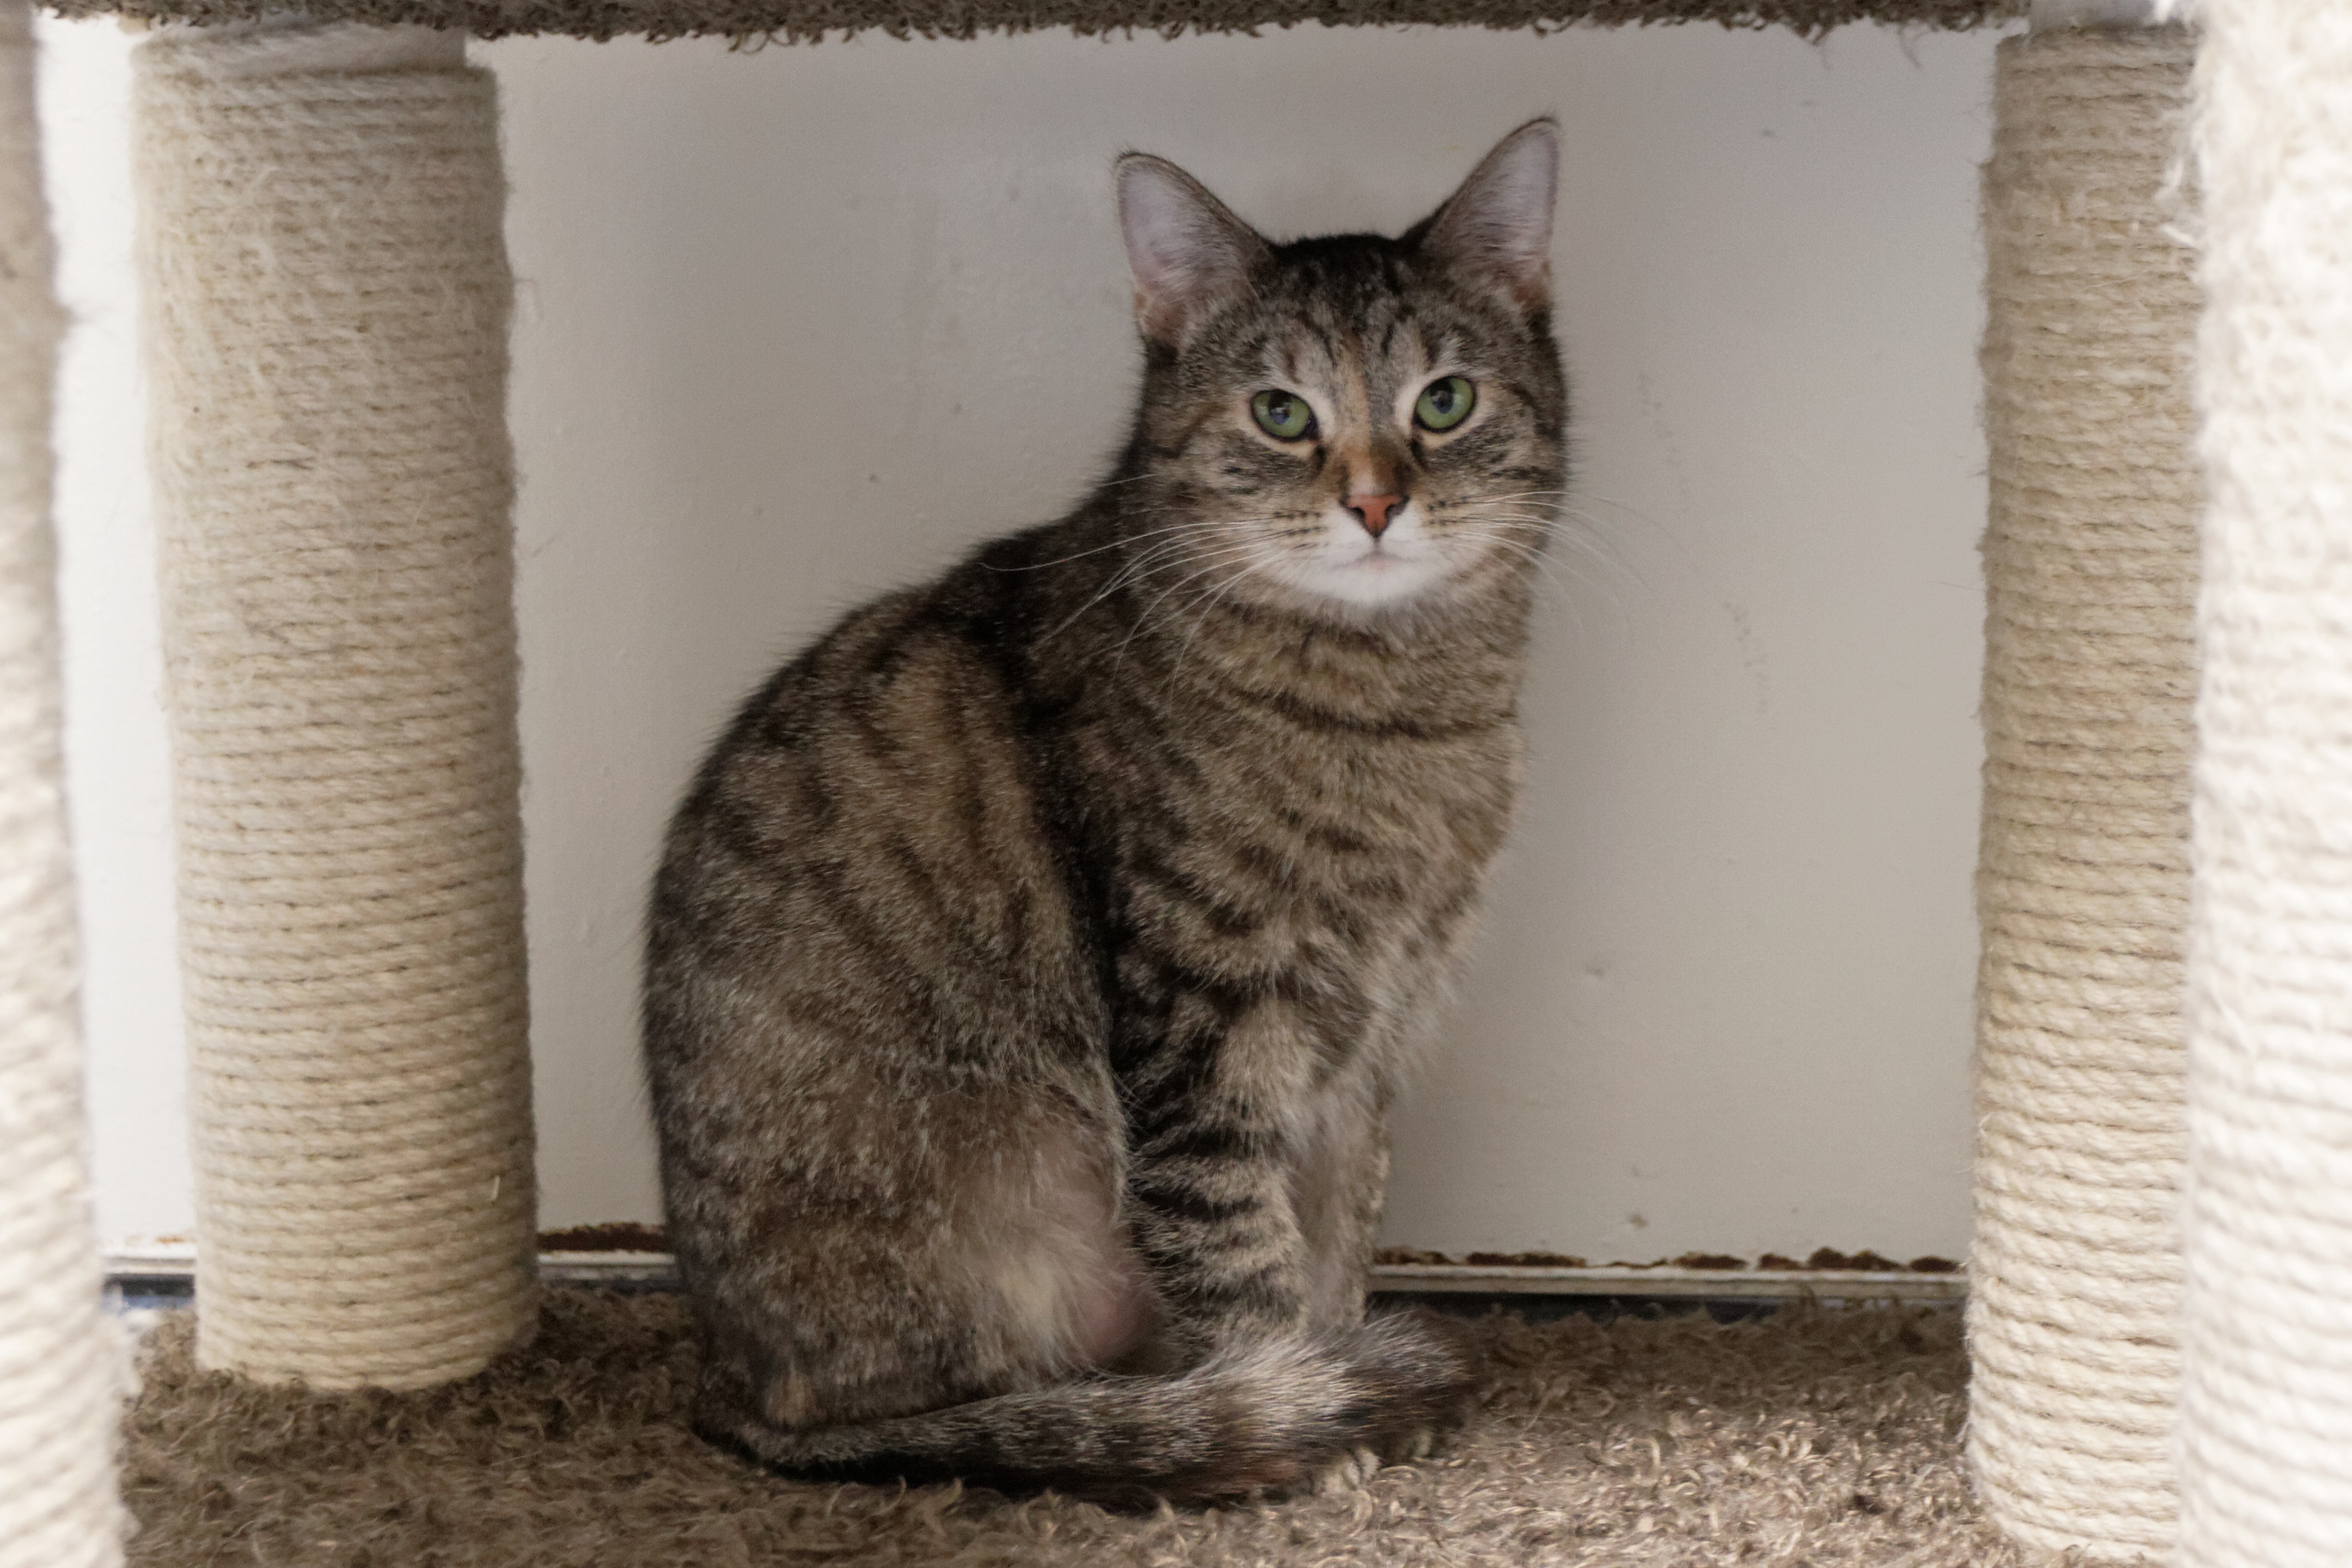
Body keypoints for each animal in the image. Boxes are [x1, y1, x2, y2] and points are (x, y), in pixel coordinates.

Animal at [644, 116, 1561, 1505]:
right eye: (1281, 414)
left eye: (1442, 402)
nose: (1374, 501)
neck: (1398, 704)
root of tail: (734, 1389)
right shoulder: (1207, 1029)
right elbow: (1244, 1261)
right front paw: (1303, 1408)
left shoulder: (1369, 1038)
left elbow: (1342, 1230)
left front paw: (1344, 1366)